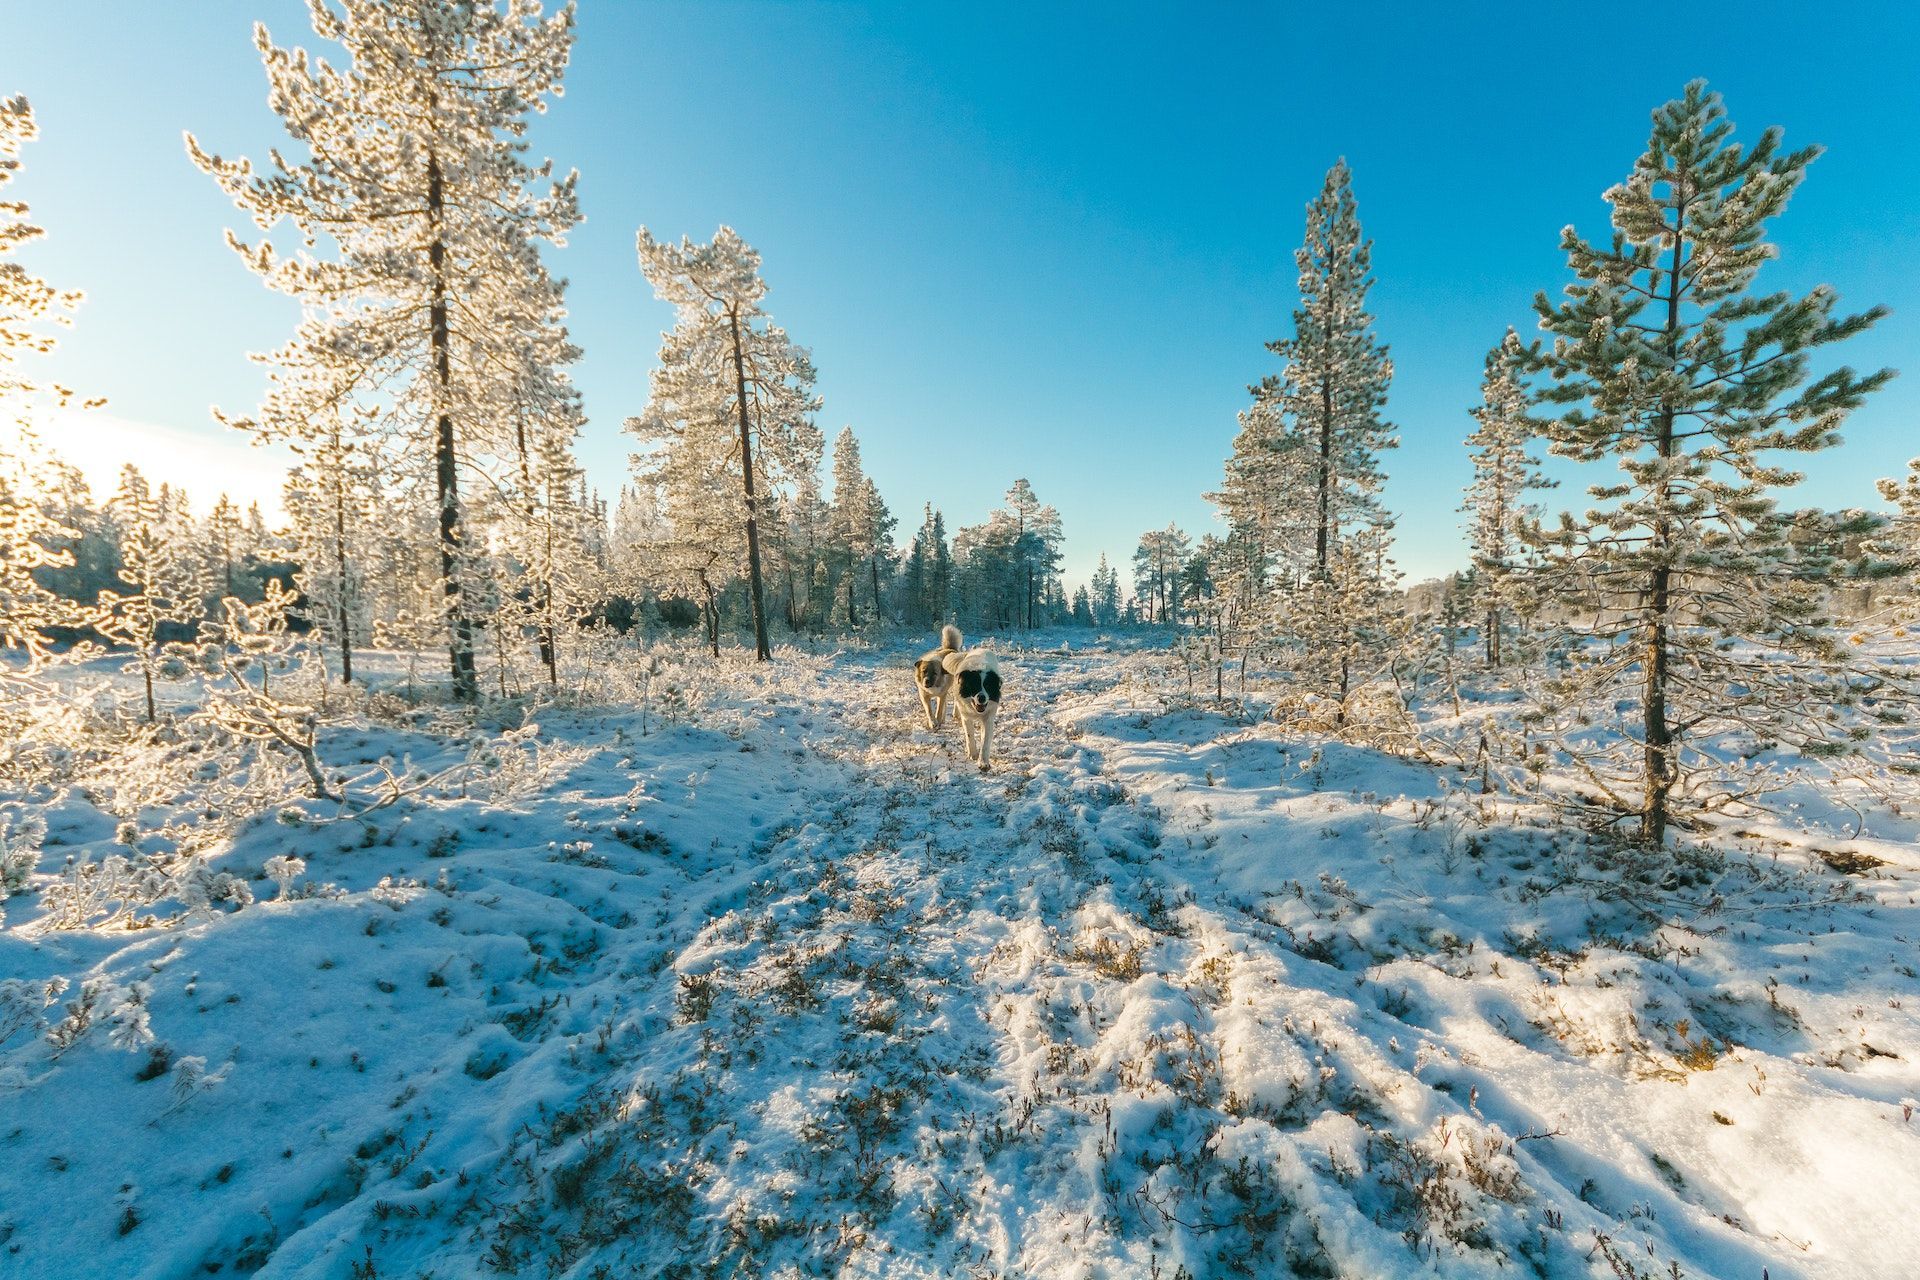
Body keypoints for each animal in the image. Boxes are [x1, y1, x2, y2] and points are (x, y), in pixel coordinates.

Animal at [913, 621, 1006, 767]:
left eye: (987, 686)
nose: (981, 697)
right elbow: (968, 735)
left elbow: (985, 741)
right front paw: (973, 754)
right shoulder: (926, 695)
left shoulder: (988, 717)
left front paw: (983, 762)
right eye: (974, 686)